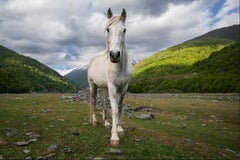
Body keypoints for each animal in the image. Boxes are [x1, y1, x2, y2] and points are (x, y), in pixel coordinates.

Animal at [88, 8, 132, 146]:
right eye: (108, 29)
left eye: (124, 30)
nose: (115, 55)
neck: (120, 67)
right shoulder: (113, 87)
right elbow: (114, 110)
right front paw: (114, 136)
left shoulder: (124, 88)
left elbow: (120, 108)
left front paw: (119, 128)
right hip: (93, 86)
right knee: (93, 101)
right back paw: (95, 121)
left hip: (104, 87)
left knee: (103, 102)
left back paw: (106, 122)